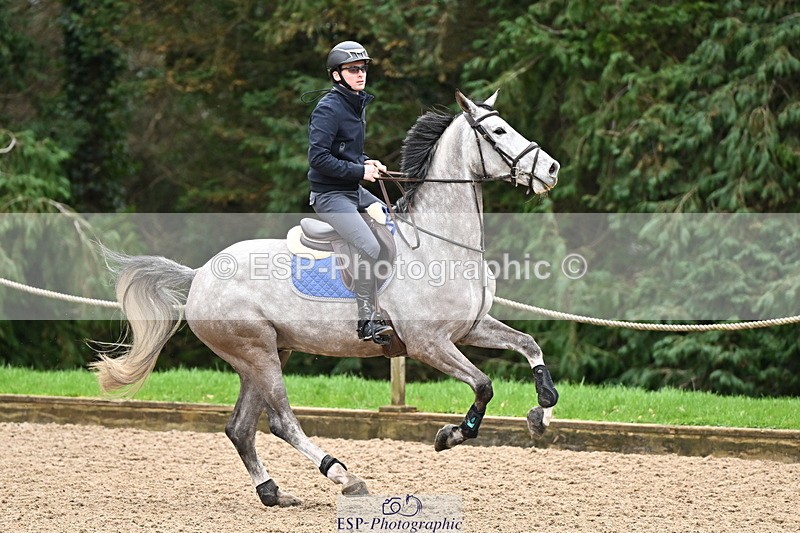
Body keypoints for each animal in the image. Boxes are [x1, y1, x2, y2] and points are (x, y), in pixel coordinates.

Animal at [92, 89, 561, 507]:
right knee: (281, 422)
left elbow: (529, 345)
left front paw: (541, 412)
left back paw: (273, 493)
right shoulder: (429, 343)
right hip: (256, 352)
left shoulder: (470, 328)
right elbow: (483, 385)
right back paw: (344, 476)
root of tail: (200, 276)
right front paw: (450, 436)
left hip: (265, 355)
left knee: (241, 428)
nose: (553, 168)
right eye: (498, 131)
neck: (438, 242)